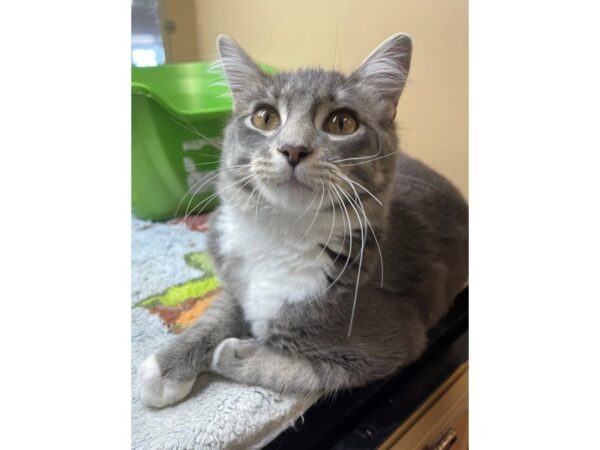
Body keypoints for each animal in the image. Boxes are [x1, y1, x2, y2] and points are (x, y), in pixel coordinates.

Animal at [139, 33, 468, 408]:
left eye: (342, 122)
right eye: (265, 118)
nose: (293, 149)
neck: (283, 231)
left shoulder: (389, 341)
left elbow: (304, 370)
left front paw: (233, 352)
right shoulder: (236, 275)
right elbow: (220, 311)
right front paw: (164, 366)